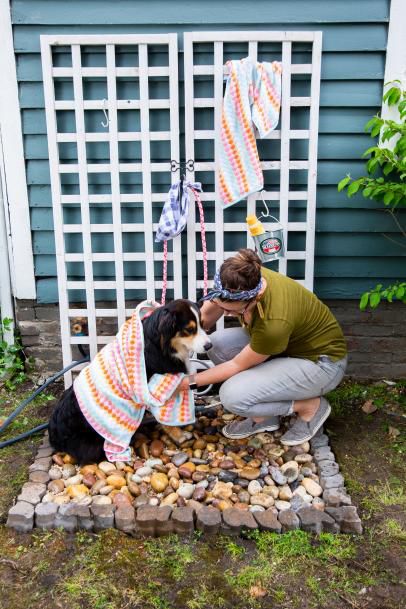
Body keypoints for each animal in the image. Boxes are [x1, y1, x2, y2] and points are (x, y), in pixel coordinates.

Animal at [49, 298, 211, 460]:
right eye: (189, 329)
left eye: (202, 324)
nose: (209, 345)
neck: (160, 343)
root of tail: (54, 435)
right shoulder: (159, 388)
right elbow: (168, 422)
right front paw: (179, 436)